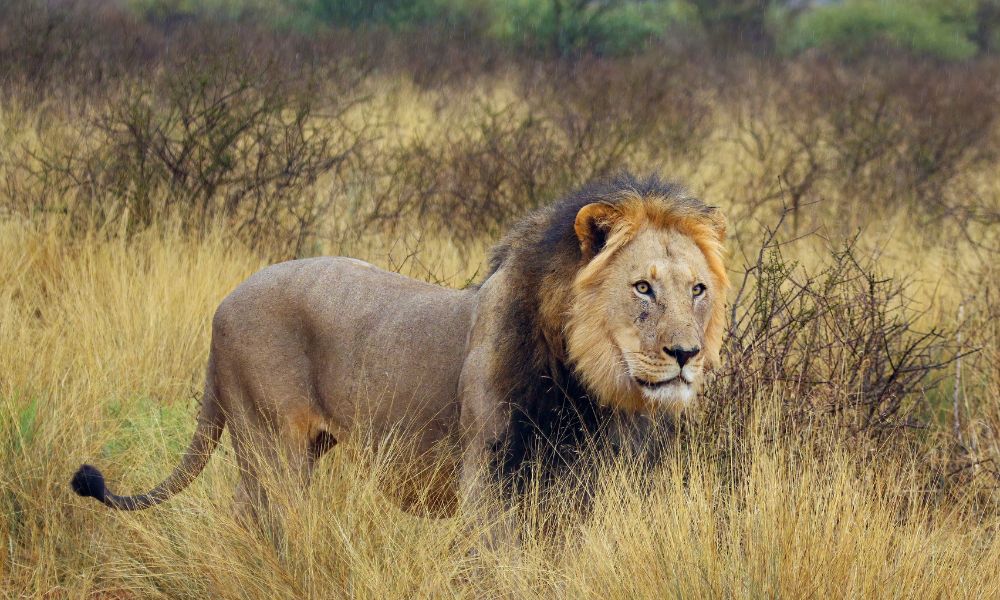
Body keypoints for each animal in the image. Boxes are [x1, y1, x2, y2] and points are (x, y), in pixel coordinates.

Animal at [71, 173, 728, 526]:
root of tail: (224, 304)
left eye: (697, 289)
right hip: (270, 445)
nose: (686, 354)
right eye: (642, 287)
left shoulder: (582, 487)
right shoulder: (488, 480)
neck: (585, 389)